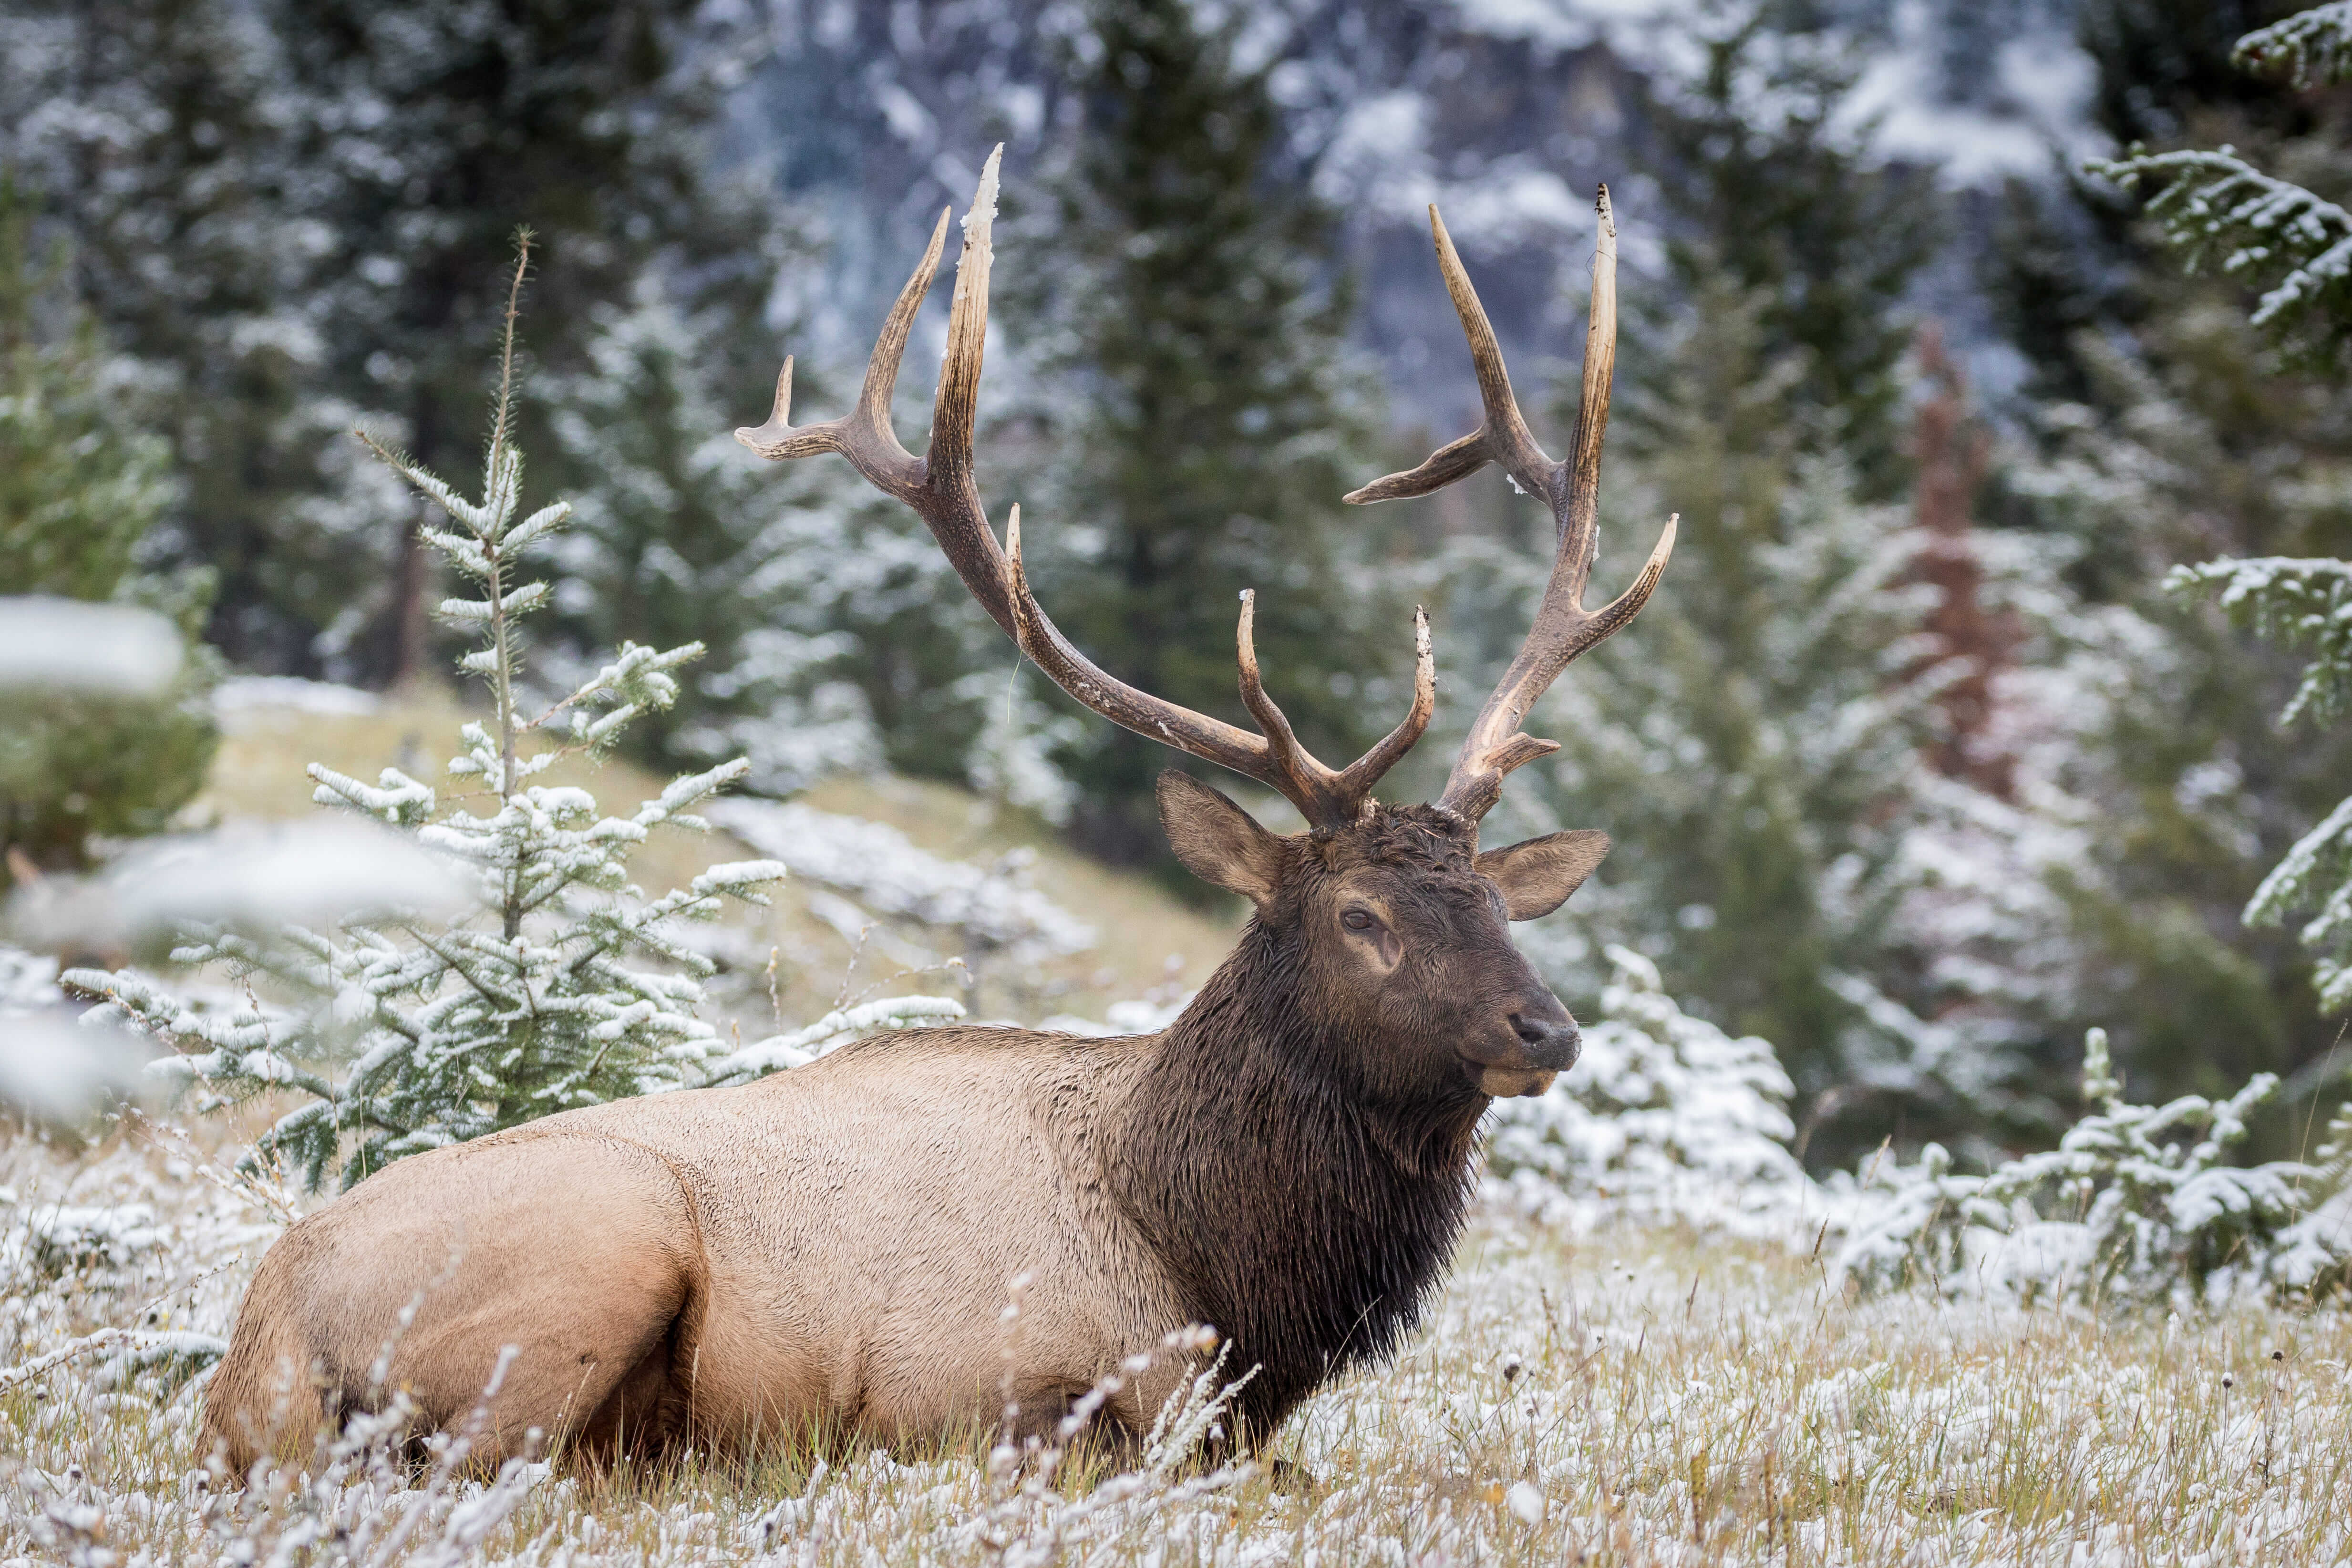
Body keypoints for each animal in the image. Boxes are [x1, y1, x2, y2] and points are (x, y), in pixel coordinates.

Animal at [198, 149, 1675, 1477]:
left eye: (1493, 902)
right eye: (1361, 914)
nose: (1544, 1026)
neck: (1218, 1274)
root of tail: (252, 1351)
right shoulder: (968, 1389)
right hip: (599, 1245)